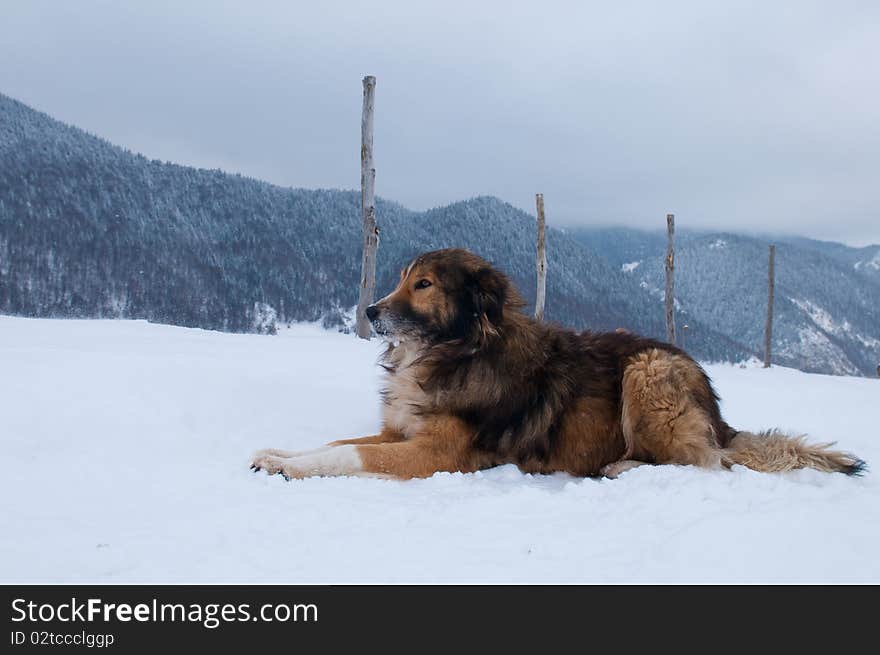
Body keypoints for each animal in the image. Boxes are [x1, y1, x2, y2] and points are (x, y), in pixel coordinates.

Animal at [249, 249, 868, 480]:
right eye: (402, 278)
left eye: (422, 285)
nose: (372, 311)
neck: (458, 350)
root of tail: (720, 415)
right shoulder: (398, 430)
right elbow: (338, 442)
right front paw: (276, 453)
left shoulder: (435, 453)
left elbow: (349, 455)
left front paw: (290, 467)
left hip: (647, 369)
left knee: (703, 462)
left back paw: (622, 467)